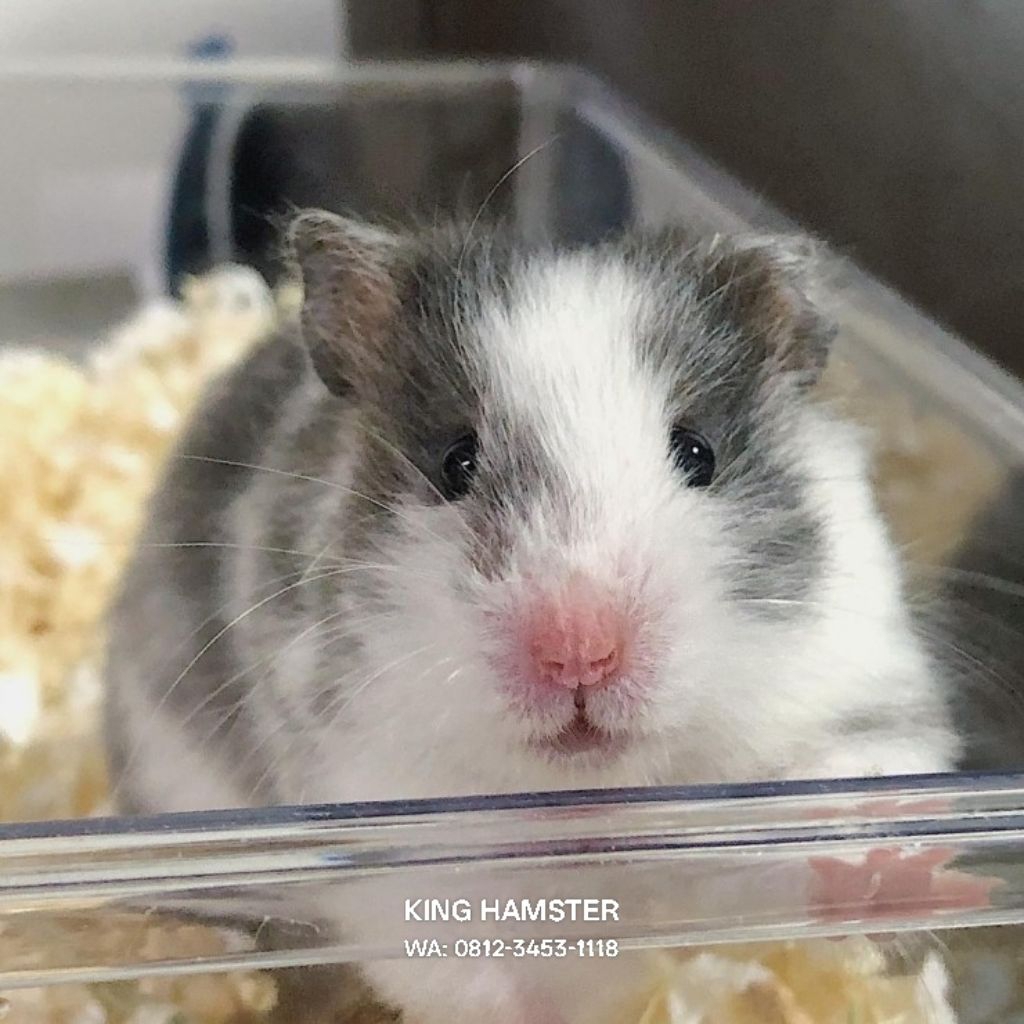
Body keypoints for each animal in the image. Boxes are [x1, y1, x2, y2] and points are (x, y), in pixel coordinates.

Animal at [103, 212, 960, 1022]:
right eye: (456, 462)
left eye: (698, 453)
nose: (580, 653)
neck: (596, 804)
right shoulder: (375, 807)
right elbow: (474, 961)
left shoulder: (852, 703)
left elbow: (834, 817)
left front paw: (905, 882)